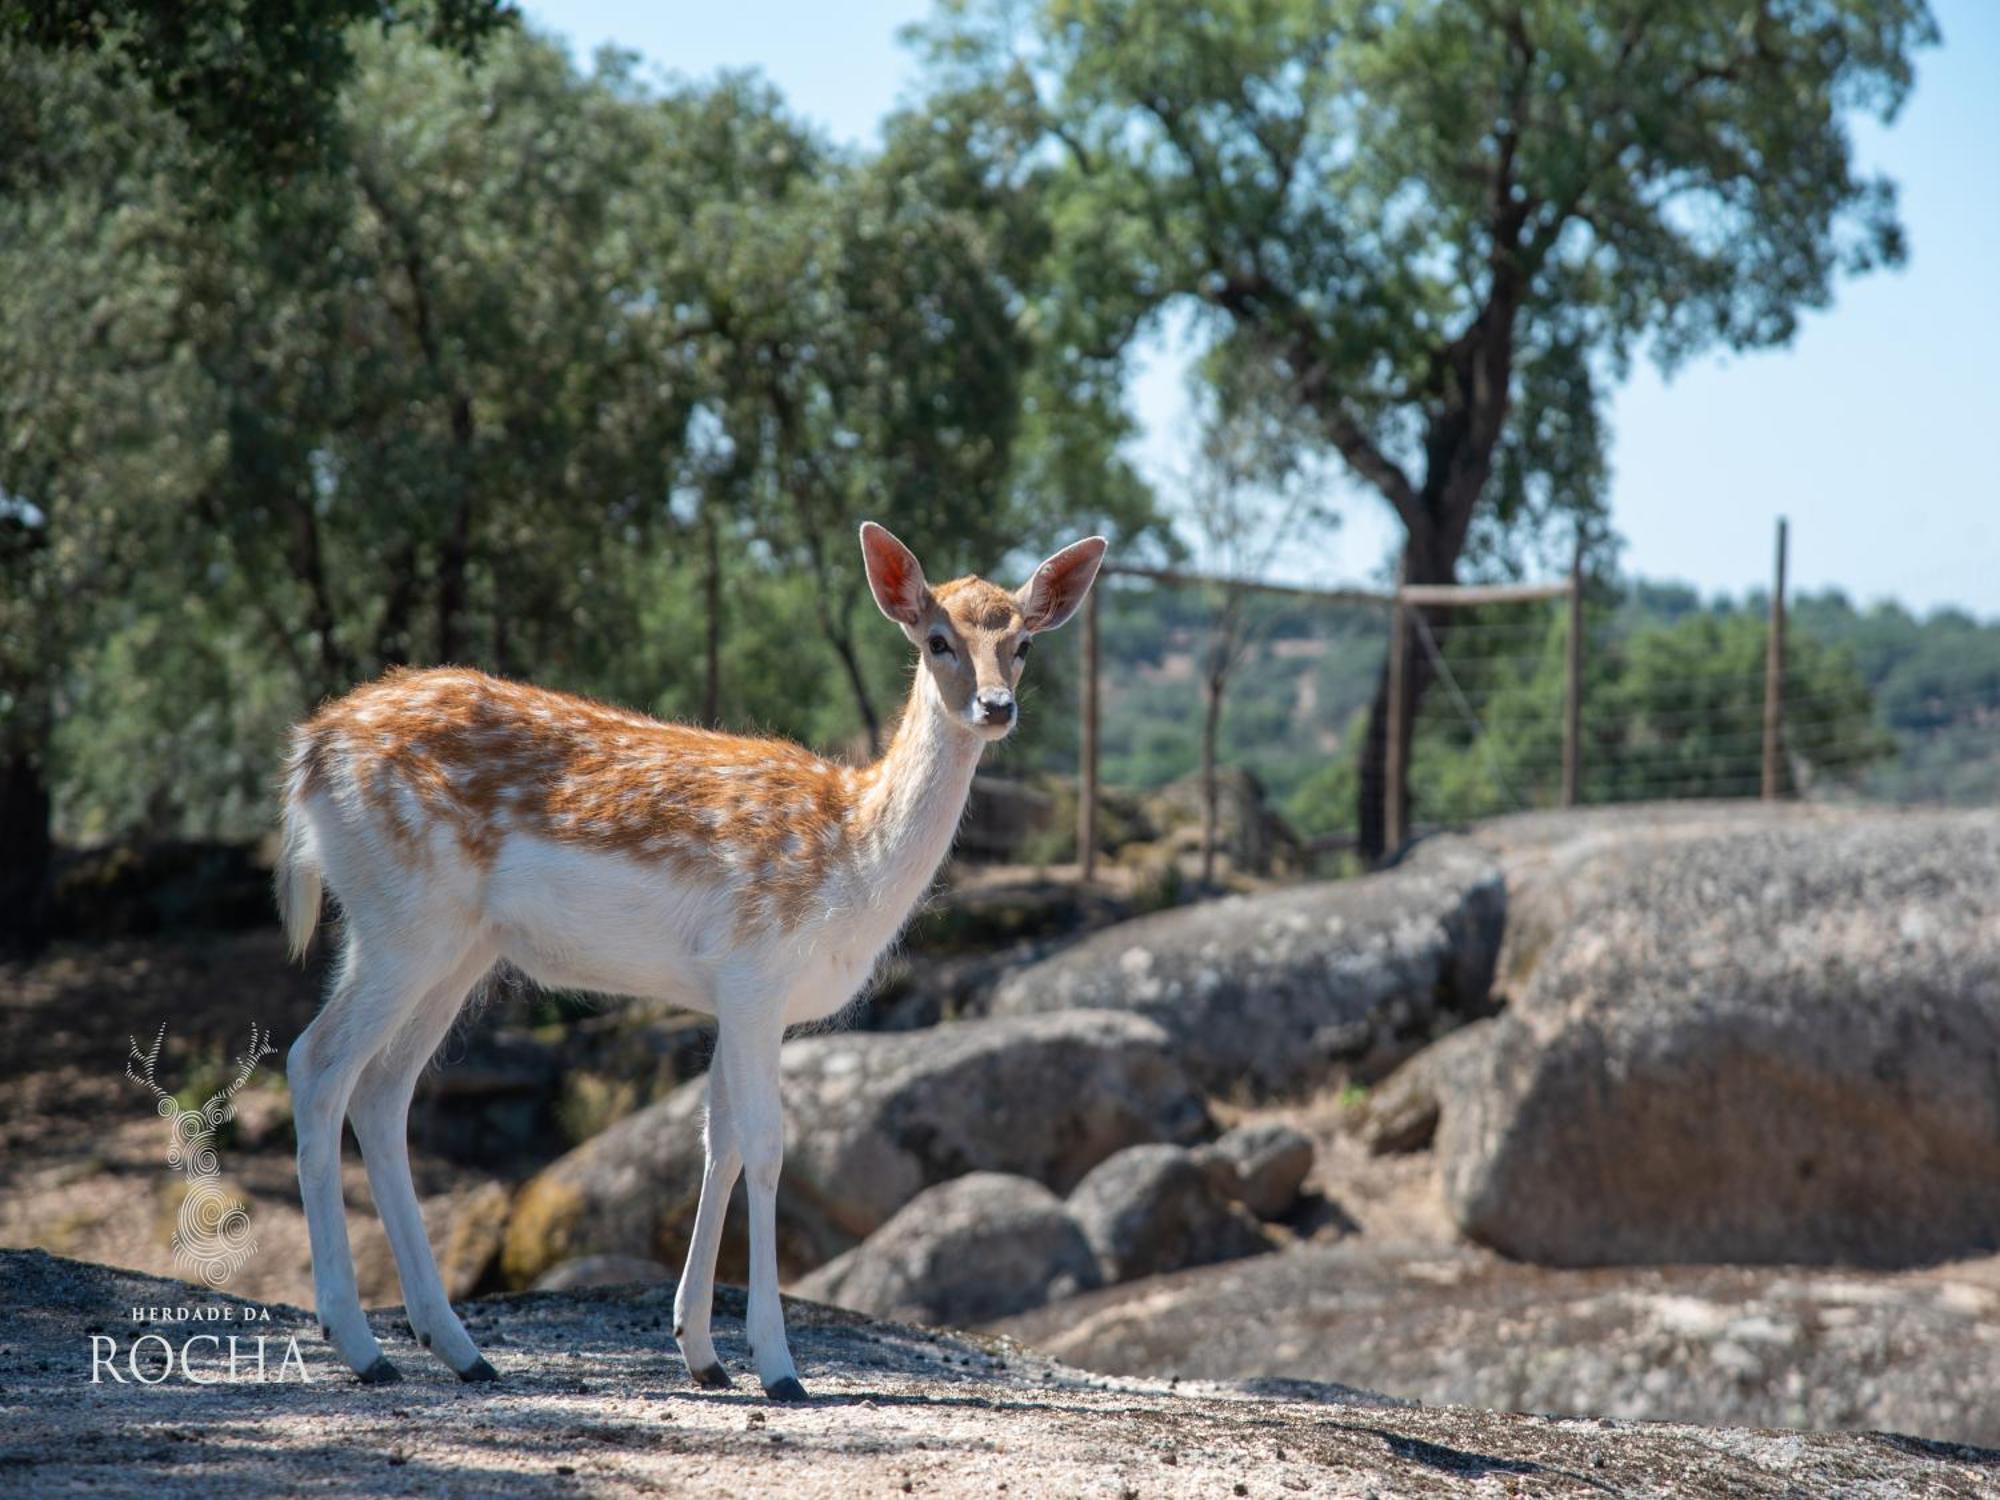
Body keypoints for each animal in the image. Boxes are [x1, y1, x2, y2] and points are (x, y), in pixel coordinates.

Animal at [278, 524, 1112, 1408]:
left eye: (1023, 643)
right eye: (937, 640)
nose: (996, 707)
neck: (853, 865)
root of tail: (309, 752)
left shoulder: (733, 994)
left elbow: (719, 1144)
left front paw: (702, 1353)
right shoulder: (755, 973)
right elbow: (768, 1146)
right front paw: (779, 1367)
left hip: (453, 947)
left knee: (382, 1091)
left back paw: (460, 1349)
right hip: (400, 918)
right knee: (316, 1062)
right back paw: (362, 1344)